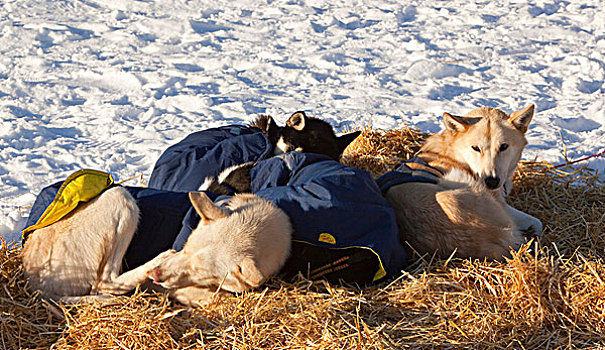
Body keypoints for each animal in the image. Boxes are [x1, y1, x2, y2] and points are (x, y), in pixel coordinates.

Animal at [378, 105, 544, 258]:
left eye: (504, 146)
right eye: (475, 148)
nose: (491, 181)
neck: (453, 155)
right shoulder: (502, 205)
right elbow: (538, 222)